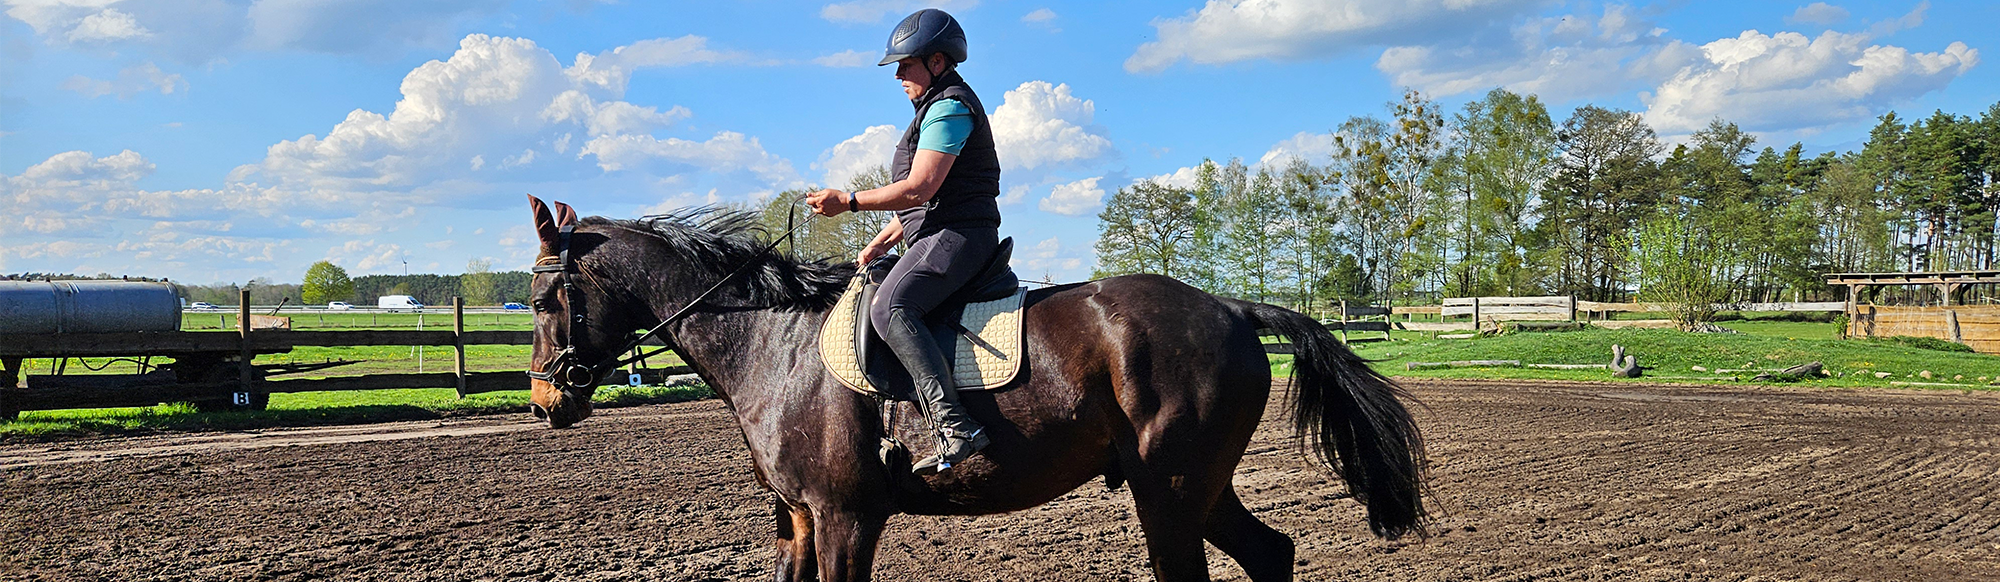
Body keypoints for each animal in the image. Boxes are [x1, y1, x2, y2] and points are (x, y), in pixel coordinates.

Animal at [520, 195, 1427, 581]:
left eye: (539, 301)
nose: (543, 402)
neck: (774, 343)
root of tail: (1231, 305)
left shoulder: (847, 517)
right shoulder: (800, 520)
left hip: (1168, 490)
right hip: (1195, 486)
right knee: (1271, 555)